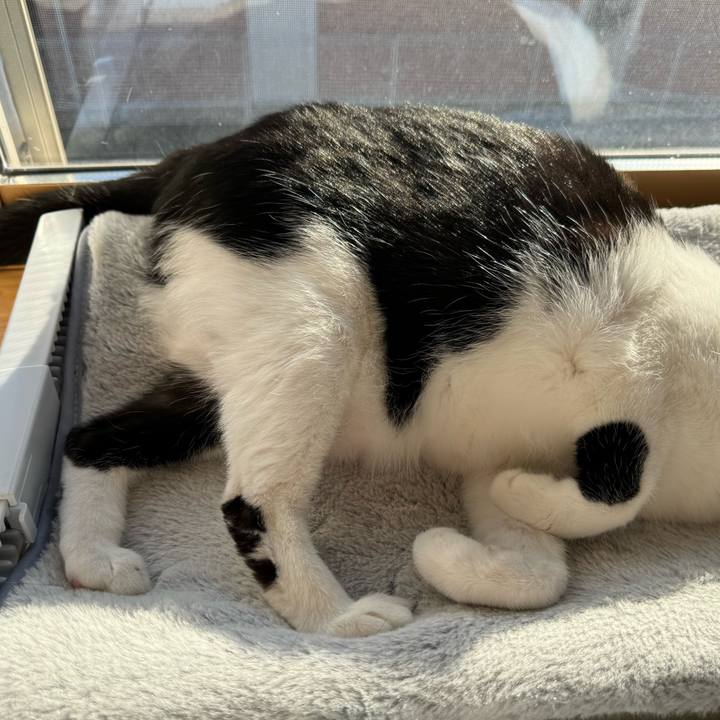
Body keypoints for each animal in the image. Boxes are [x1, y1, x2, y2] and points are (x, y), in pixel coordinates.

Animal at [3, 103, 720, 637]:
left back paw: (93, 559)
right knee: (252, 503)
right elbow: (617, 493)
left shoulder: (488, 466)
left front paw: (449, 548)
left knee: (89, 438)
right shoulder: (634, 374)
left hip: (226, 374)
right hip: (316, 320)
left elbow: (541, 575)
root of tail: (194, 153)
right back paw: (338, 618)